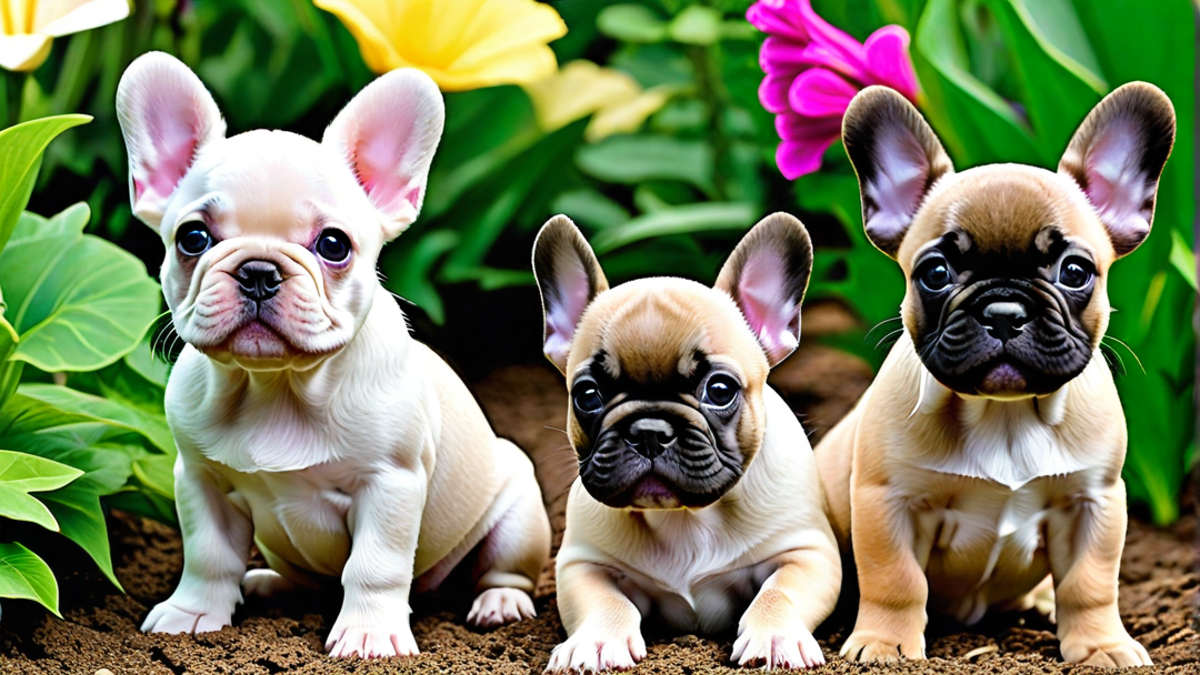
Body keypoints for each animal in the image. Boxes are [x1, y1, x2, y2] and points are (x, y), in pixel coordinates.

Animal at [118, 52, 552, 658]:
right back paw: (270, 584)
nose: (258, 270)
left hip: (517, 513)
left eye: (333, 245)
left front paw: (369, 635)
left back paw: (499, 603)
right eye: (194, 238)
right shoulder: (201, 479)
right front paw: (194, 612)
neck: (275, 386)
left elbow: (374, 564)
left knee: (503, 568)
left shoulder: (389, 483)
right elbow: (208, 554)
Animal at [540, 213, 840, 667]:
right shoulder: (582, 563)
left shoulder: (808, 552)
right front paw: (596, 641)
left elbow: (780, 591)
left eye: (719, 390)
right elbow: (606, 601)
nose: (649, 432)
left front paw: (774, 637)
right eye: (587, 395)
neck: (685, 517)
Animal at [811, 81, 1176, 662]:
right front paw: (887, 644)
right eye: (936, 273)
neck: (1004, 415)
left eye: (1075, 271)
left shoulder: (1093, 503)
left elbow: (1091, 582)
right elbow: (896, 578)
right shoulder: (887, 502)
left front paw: (1100, 647)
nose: (1003, 311)